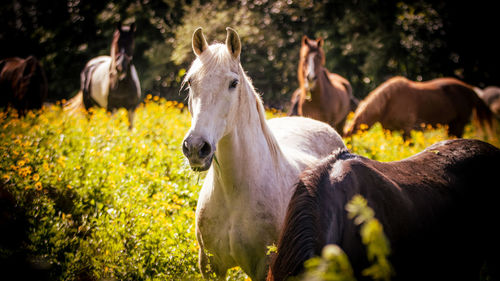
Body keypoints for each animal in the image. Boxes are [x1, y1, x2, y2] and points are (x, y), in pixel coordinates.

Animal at [344, 76, 492, 138]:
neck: (388, 102)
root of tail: (471, 90)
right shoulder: (388, 130)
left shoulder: (407, 128)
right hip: (451, 125)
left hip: (459, 123)